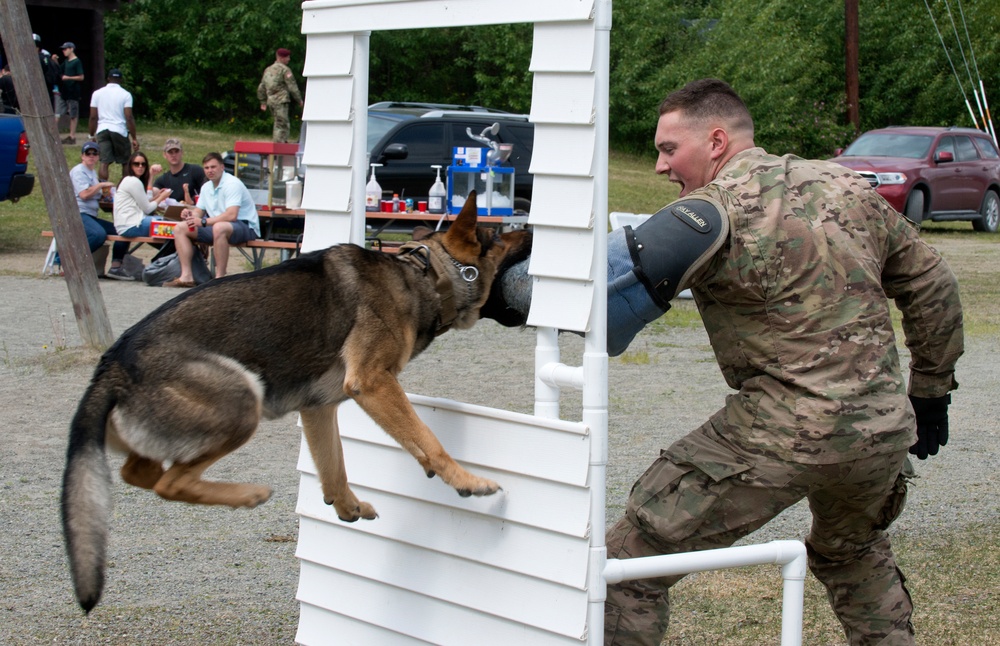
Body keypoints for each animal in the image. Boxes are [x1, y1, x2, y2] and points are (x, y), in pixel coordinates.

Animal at [62, 192, 532, 612]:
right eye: (501, 234)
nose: (531, 227)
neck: (424, 275)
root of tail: (112, 365)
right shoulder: (374, 383)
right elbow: (428, 438)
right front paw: (466, 480)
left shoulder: (319, 408)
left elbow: (335, 466)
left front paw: (347, 505)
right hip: (241, 402)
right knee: (168, 482)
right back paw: (248, 494)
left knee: (139, 472)